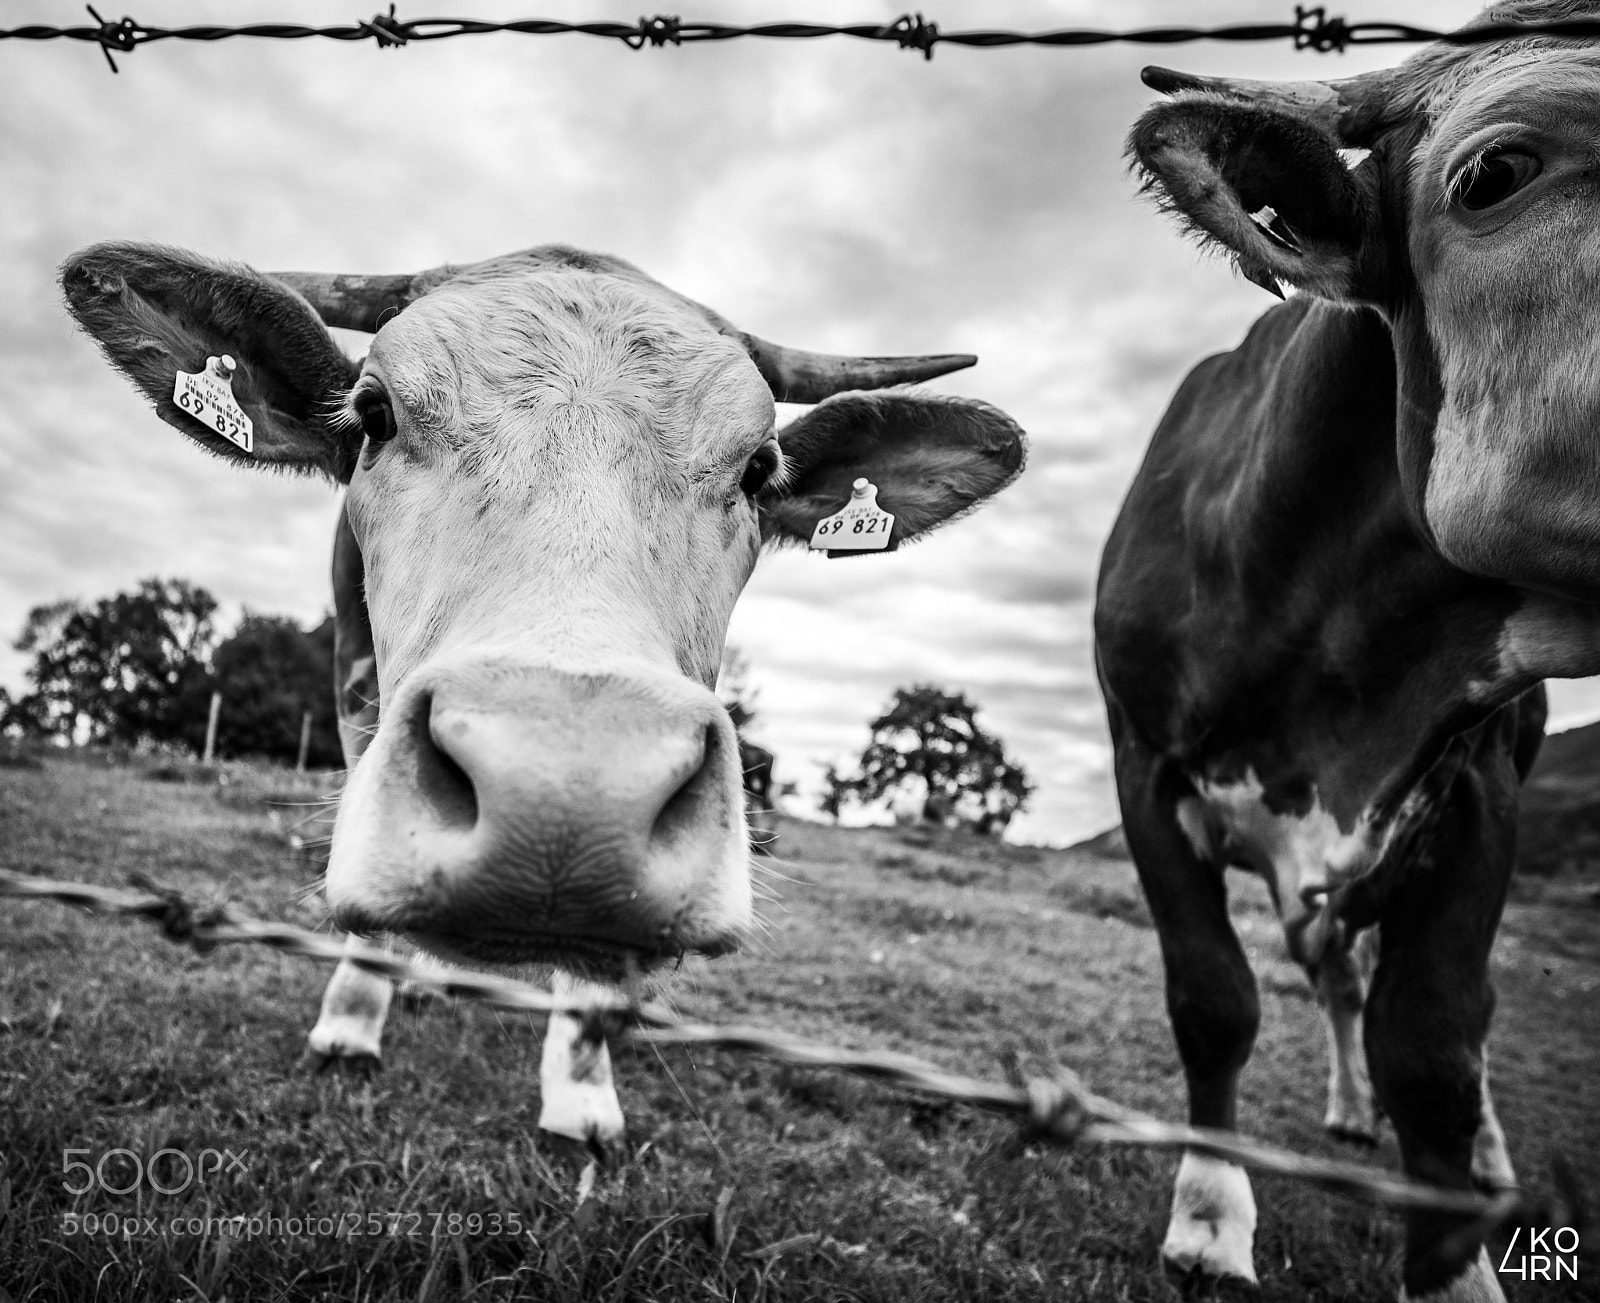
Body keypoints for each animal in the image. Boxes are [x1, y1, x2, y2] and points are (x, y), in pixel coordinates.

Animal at [62, 240, 1026, 1146]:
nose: (563, 801)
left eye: (758, 468)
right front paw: (350, 1021)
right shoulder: (353, 688)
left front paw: (583, 1089)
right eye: (374, 414)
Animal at [1104, 4, 1600, 1298]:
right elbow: (1214, 999)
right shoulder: (1143, 764)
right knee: (1330, 974)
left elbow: (1433, 1043)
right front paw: (1209, 1214)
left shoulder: (1475, 795)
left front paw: (1455, 1264)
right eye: (1494, 173)